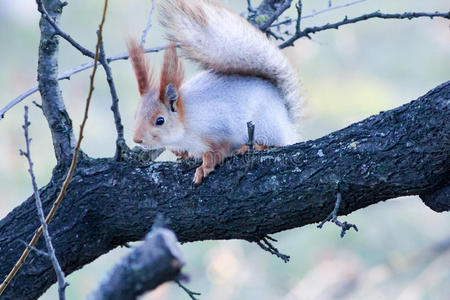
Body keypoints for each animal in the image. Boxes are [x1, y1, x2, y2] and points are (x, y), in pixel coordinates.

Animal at [127, 0, 302, 185]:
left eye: (160, 120)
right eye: (136, 115)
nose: (137, 139)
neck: (186, 120)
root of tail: (286, 120)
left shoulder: (219, 131)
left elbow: (216, 152)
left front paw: (204, 168)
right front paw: (183, 155)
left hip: (266, 126)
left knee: (274, 143)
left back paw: (251, 146)